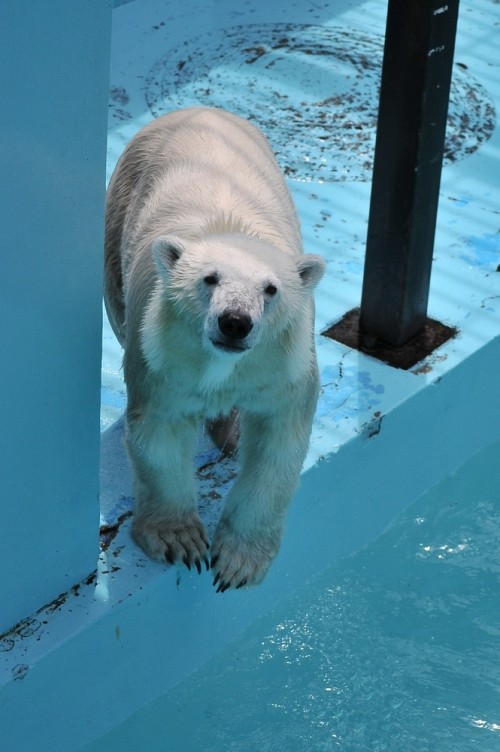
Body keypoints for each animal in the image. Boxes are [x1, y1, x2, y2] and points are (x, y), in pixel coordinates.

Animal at [103, 108, 326, 592]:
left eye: (270, 289)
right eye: (210, 278)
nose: (234, 322)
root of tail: (197, 110)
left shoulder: (284, 364)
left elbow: (279, 442)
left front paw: (239, 561)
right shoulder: (161, 354)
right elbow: (160, 432)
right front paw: (179, 541)